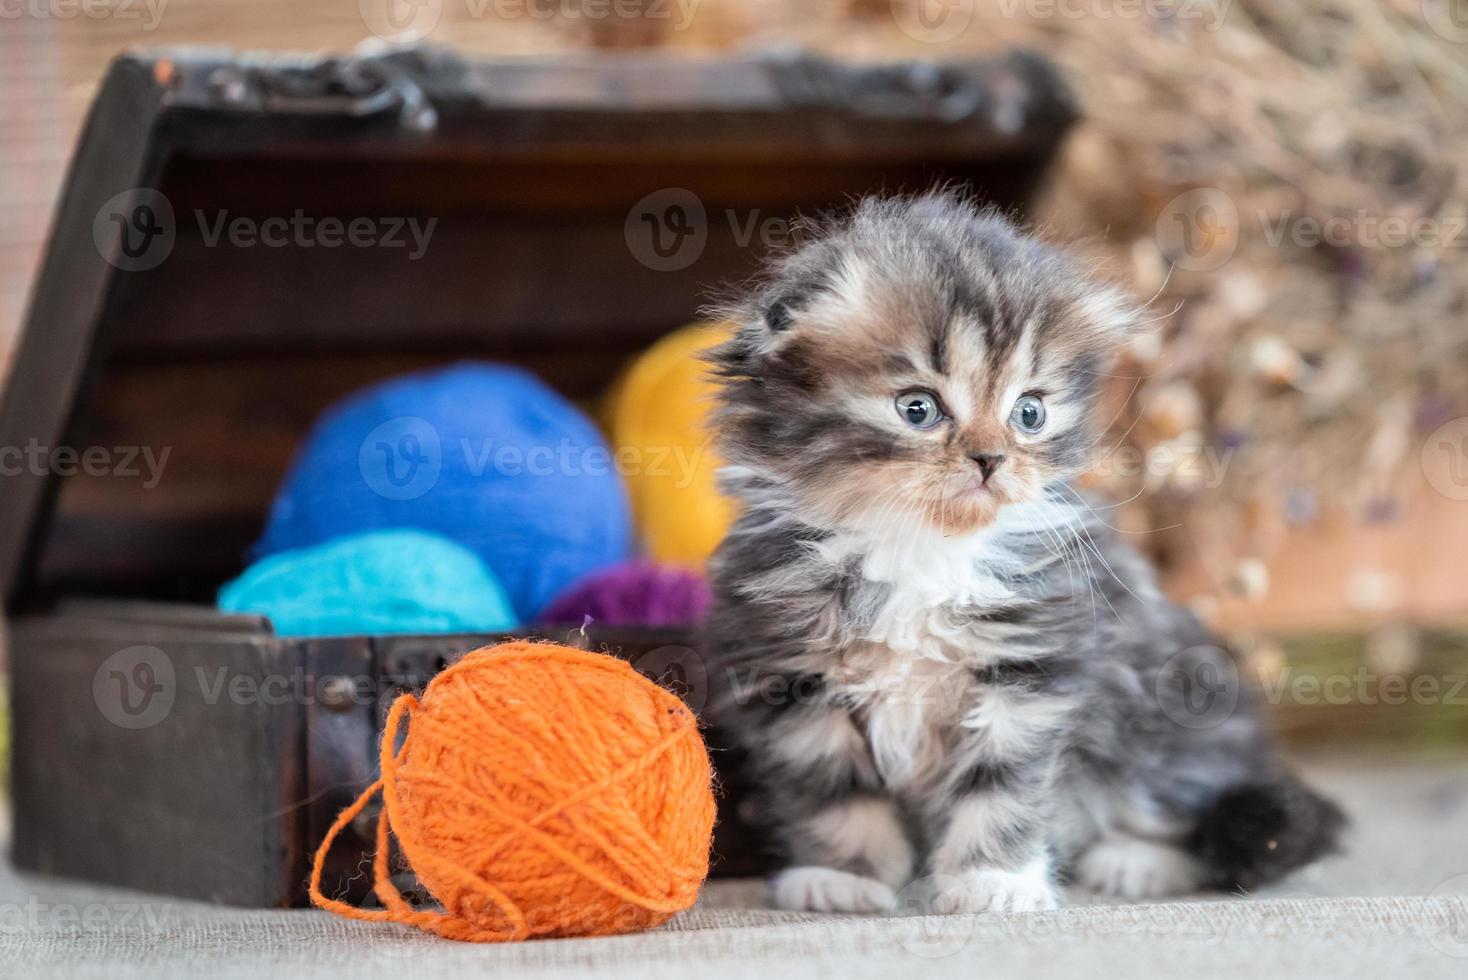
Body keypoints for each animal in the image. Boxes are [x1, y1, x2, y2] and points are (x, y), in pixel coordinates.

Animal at [698, 195, 1344, 915]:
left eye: (1029, 413)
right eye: (917, 409)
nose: (990, 458)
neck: (918, 548)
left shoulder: (1031, 667)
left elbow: (1001, 786)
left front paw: (993, 881)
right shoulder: (794, 682)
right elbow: (836, 793)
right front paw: (845, 876)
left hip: (1172, 714)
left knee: (1188, 804)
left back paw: (1134, 862)